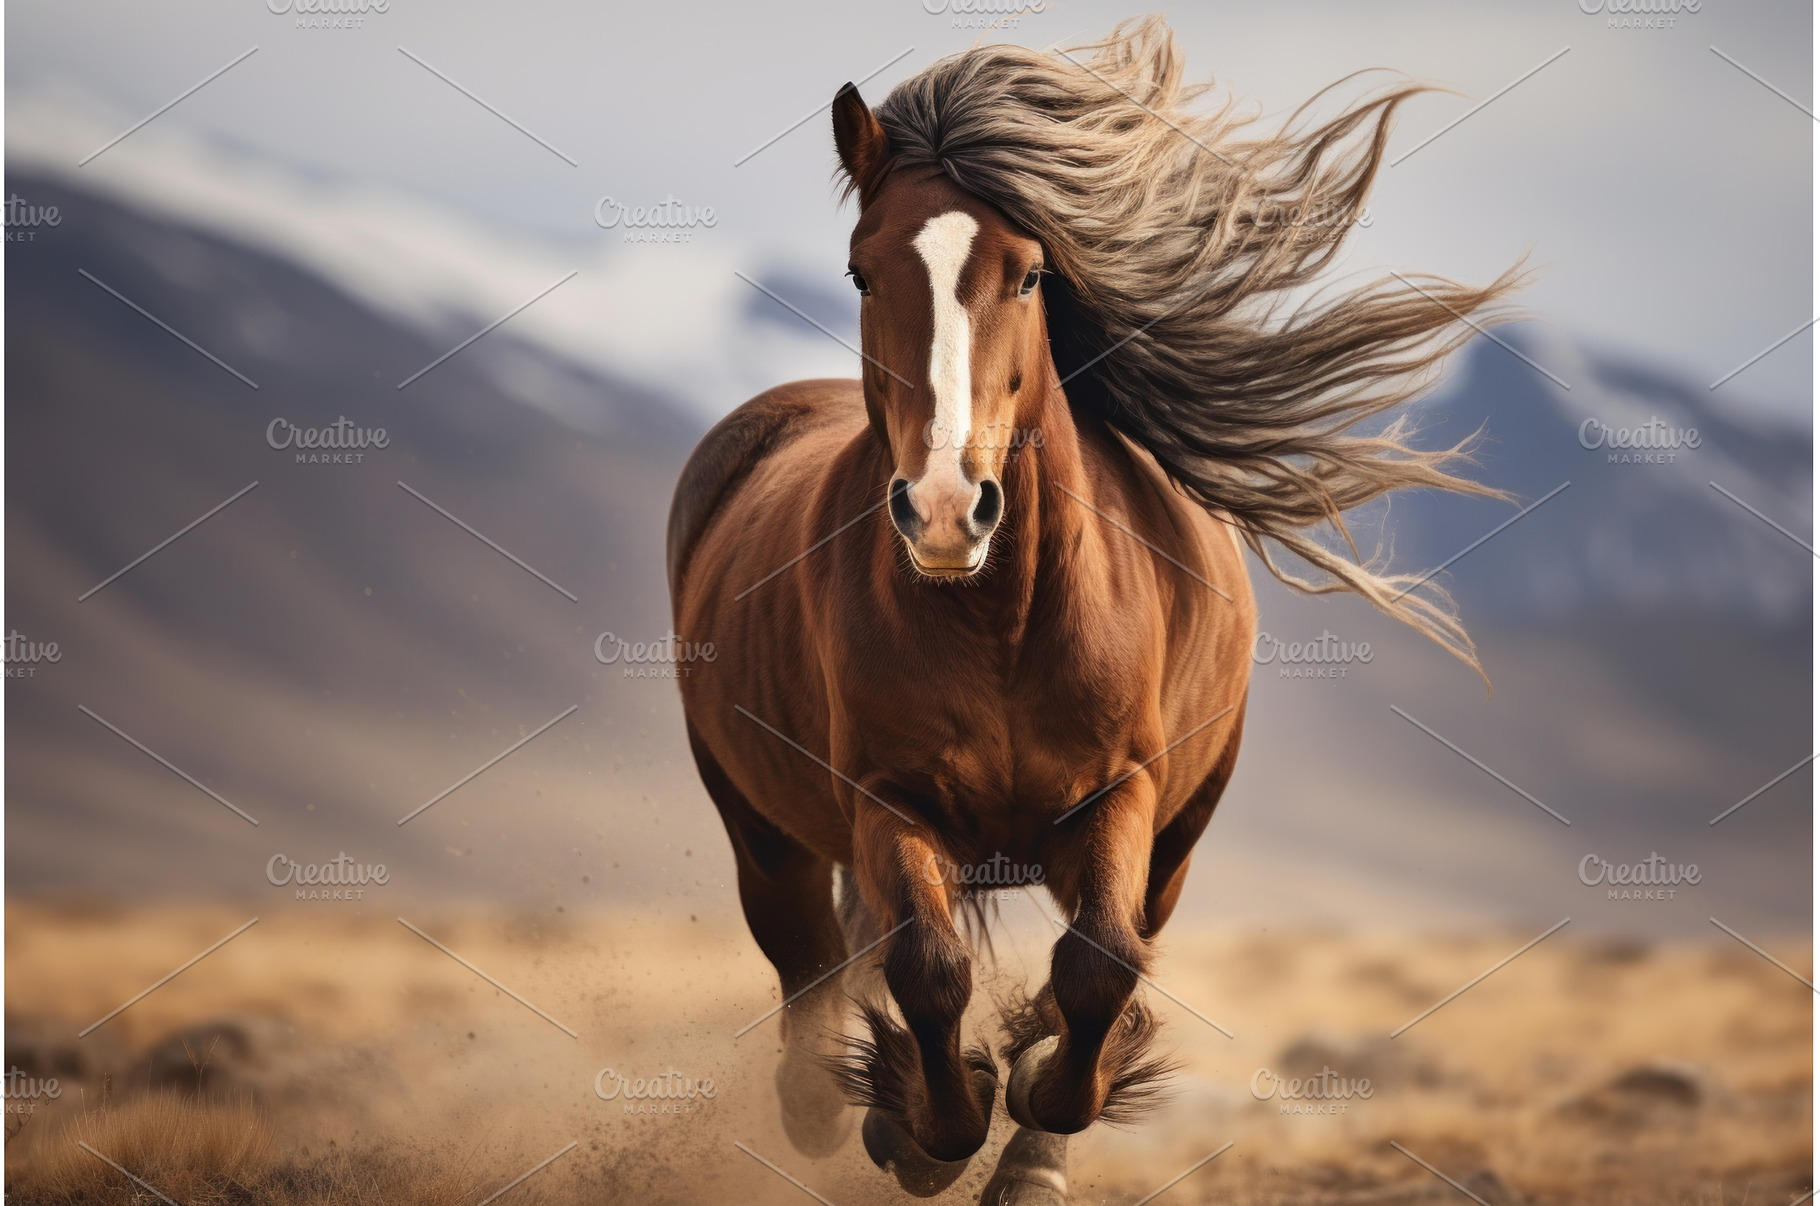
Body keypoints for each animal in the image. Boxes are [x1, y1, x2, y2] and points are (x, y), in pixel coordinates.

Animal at [668, 18, 1518, 1203]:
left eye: (1028, 274)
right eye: (859, 270)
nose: (944, 508)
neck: (1001, 622)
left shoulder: (1121, 794)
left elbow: (1098, 965)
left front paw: (1028, 1121)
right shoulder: (888, 802)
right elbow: (925, 967)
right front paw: (923, 1127)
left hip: (1181, 831)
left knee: (1111, 940)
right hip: (759, 824)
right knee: (812, 968)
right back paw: (836, 1102)